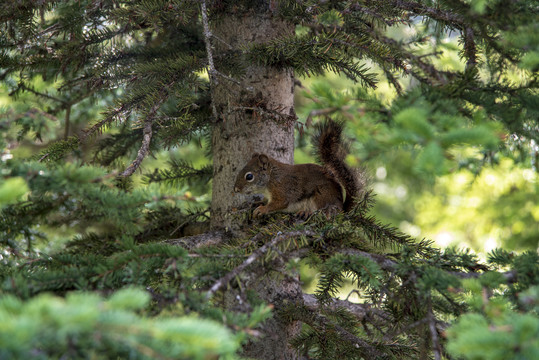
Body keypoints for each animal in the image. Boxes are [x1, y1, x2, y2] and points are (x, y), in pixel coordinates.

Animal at [233, 120, 362, 217]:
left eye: (249, 176)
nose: (236, 189)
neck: (271, 177)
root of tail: (342, 209)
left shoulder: (282, 189)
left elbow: (277, 204)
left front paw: (262, 209)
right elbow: (266, 201)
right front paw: (258, 202)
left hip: (321, 196)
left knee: (323, 213)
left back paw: (306, 212)